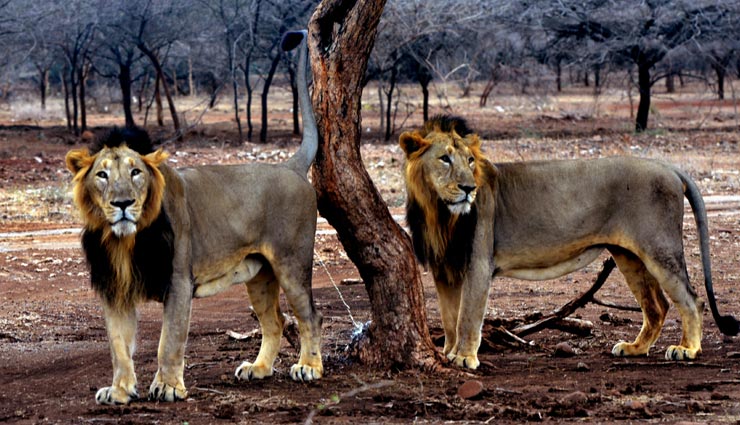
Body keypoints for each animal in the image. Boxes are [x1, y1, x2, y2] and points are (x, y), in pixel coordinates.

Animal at [65, 31, 322, 405]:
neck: (126, 240)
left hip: (292, 263)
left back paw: (309, 368)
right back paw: (258, 369)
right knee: (274, 321)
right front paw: (120, 390)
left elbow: (169, 341)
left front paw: (169, 387)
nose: (123, 202)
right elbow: (118, 346)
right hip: (260, 274)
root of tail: (290, 166)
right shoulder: (115, 289)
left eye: (136, 172)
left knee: (309, 315)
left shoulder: (178, 281)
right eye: (102, 175)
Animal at [399, 115, 738, 370]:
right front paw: (447, 353)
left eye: (470, 161)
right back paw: (635, 348)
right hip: (628, 256)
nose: (469, 188)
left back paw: (687, 350)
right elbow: (448, 318)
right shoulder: (444, 271)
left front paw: (464, 358)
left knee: (691, 299)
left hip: (659, 247)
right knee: (657, 305)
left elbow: (467, 317)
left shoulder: (478, 265)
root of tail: (668, 166)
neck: (437, 212)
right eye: (445, 158)